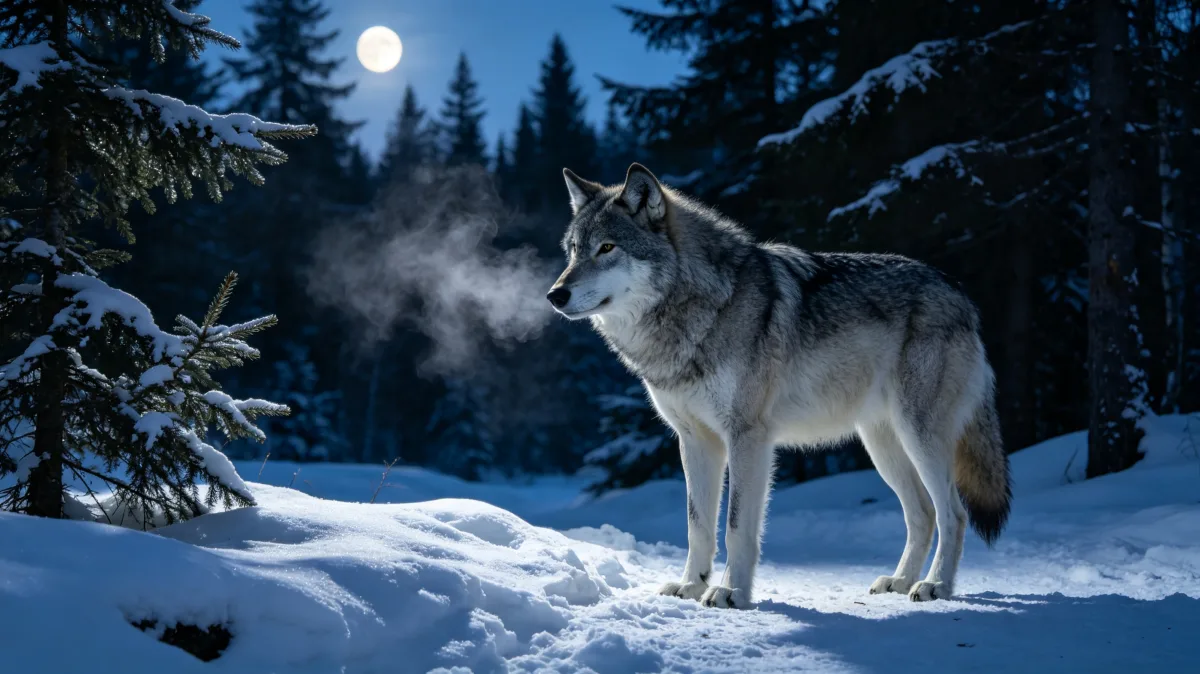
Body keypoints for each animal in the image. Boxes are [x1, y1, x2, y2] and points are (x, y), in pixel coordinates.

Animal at [547, 163, 1012, 608]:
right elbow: (698, 526)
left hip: (919, 437)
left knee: (953, 514)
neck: (703, 307)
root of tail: (961, 295)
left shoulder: (747, 437)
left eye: (607, 248)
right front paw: (692, 587)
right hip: (883, 446)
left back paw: (935, 585)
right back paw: (900, 581)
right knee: (922, 513)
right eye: (573, 251)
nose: (555, 295)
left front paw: (731, 593)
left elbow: (735, 526)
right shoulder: (695, 441)